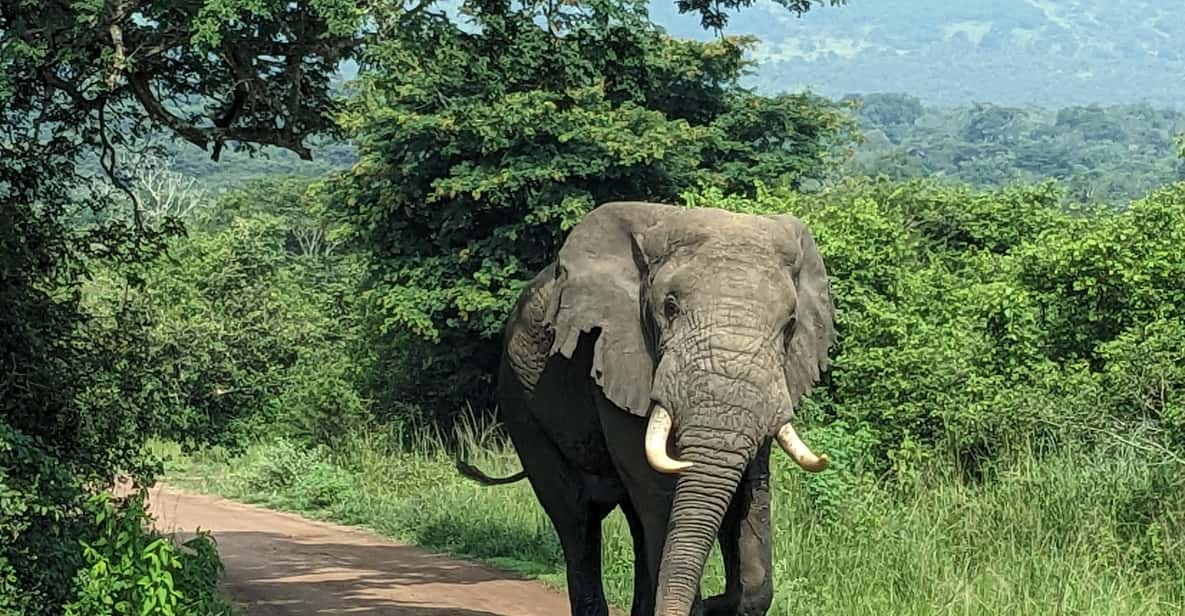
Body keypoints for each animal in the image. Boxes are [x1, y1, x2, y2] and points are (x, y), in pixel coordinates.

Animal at [458, 201, 837, 616]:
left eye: (789, 325)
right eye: (669, 307)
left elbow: (749, 494)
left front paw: (726, 598)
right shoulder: (616, 355)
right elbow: (658, 488)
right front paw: (704, 602)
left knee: (634, 520)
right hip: (520, 402)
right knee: (577, 520)